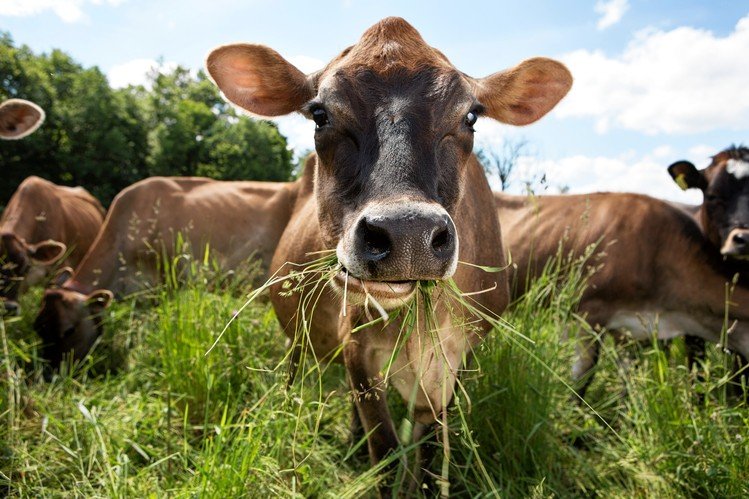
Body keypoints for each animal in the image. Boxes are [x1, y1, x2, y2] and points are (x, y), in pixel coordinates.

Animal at [206, 17, 571, 494]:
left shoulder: (459, 360)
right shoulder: (357, 346)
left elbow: (429, 452)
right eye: (320, 114)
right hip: (298, 334)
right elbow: (385, 449)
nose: (408, 232)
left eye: (470, 116)